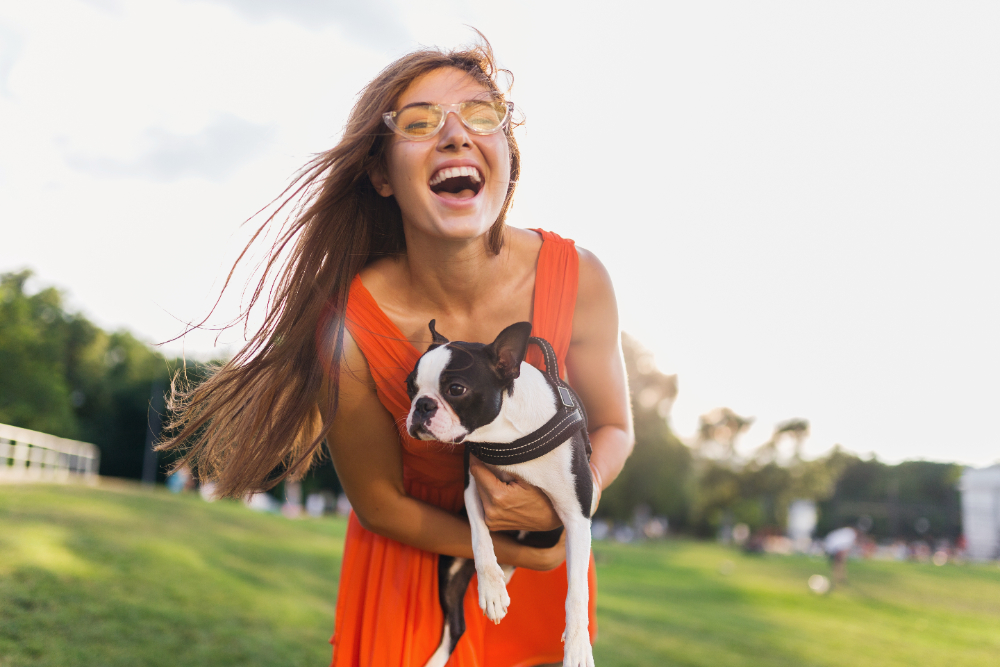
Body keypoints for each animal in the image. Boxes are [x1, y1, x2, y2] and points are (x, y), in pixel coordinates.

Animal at [404, 320, 592, 667]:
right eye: (409, 387)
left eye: (456, 389)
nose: (421, 405)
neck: (504, 436)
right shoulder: (472, 487)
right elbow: (480, 538)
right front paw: (490, 589)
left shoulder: (576, 516)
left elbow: (576, 591)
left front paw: (577, 646)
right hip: (450, 566)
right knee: (456, 625)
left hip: (546, 536)